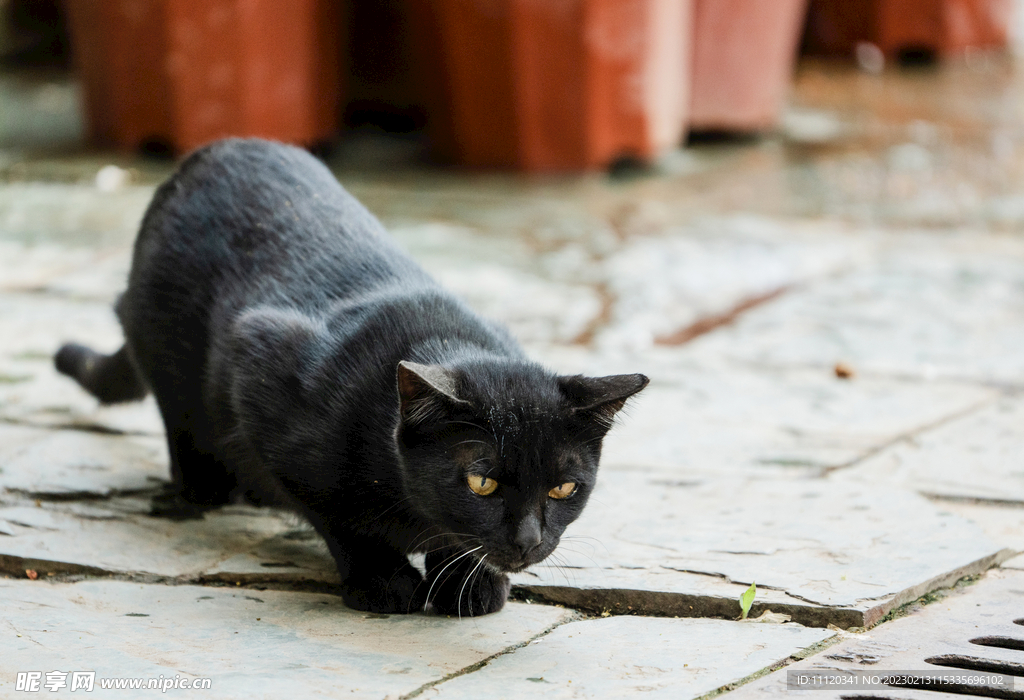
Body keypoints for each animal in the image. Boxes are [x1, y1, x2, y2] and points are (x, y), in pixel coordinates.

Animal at [54, 138, 647, 618]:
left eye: (565, 487)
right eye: (482, 482)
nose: (527, 541)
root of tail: (209, 153)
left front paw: (466, 581)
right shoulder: (259, 366)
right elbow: (337, 517)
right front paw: (384, 581)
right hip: (165, 346)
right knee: (180, 420)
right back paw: (208, 486)